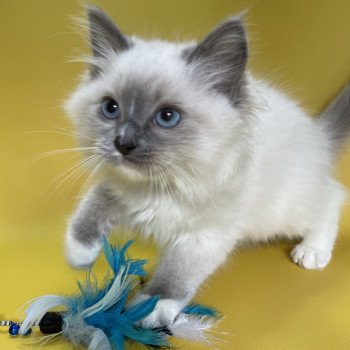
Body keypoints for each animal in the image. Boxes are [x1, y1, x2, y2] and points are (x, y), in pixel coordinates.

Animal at [63, 5, 350, 328]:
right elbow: (91, 206)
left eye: (167, 117)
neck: (160, 185)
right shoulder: (118, 187)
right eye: (111, 108)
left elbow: (176, 273)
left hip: (285, 211)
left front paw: (152, 308)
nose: (123, 142)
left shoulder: (205, 236)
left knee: (333, 198)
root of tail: (317, 132)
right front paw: (79, 253)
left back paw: (312, 252)